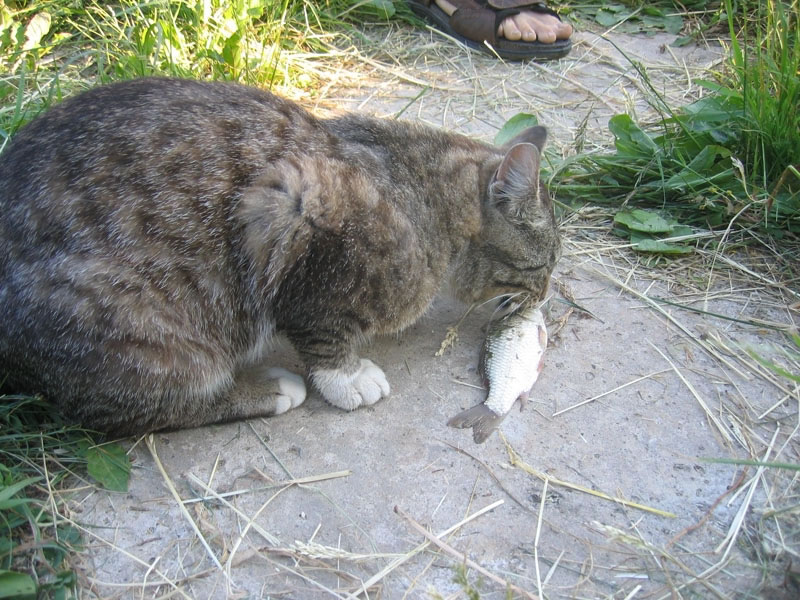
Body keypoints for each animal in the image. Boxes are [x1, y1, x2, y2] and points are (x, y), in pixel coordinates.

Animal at [0, 78, 564, 436]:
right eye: (545, 266)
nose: (545, 296)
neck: (418, 185)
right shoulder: (291, 214)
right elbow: (321, 328)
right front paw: (346, 378)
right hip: (140, 324)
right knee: (140, 409)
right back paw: (267, 390)